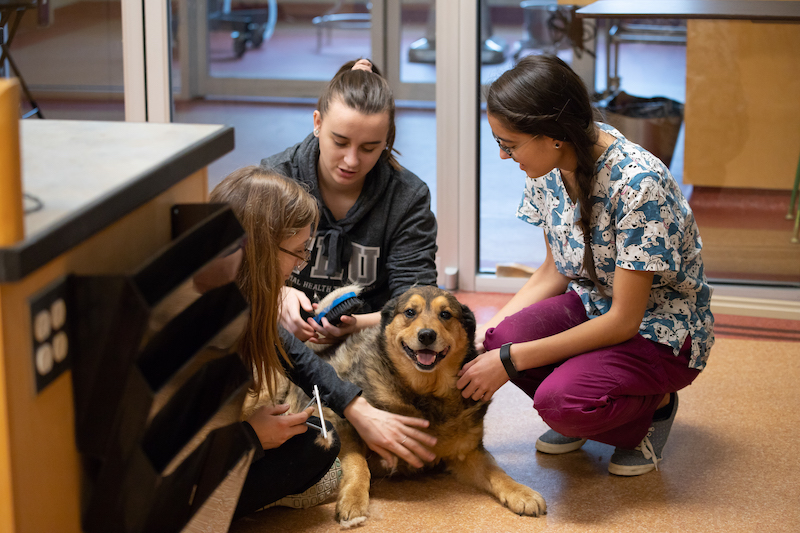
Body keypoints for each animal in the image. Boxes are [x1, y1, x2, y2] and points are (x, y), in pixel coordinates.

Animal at [286, 284, 544, 524]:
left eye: (445, 314)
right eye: (410, 312)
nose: (427, 335)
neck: (425, 393)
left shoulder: (468, 454)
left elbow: (497, 472)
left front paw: (522, 492)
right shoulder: (339, 423)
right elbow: (358, 464)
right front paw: (353, 500)